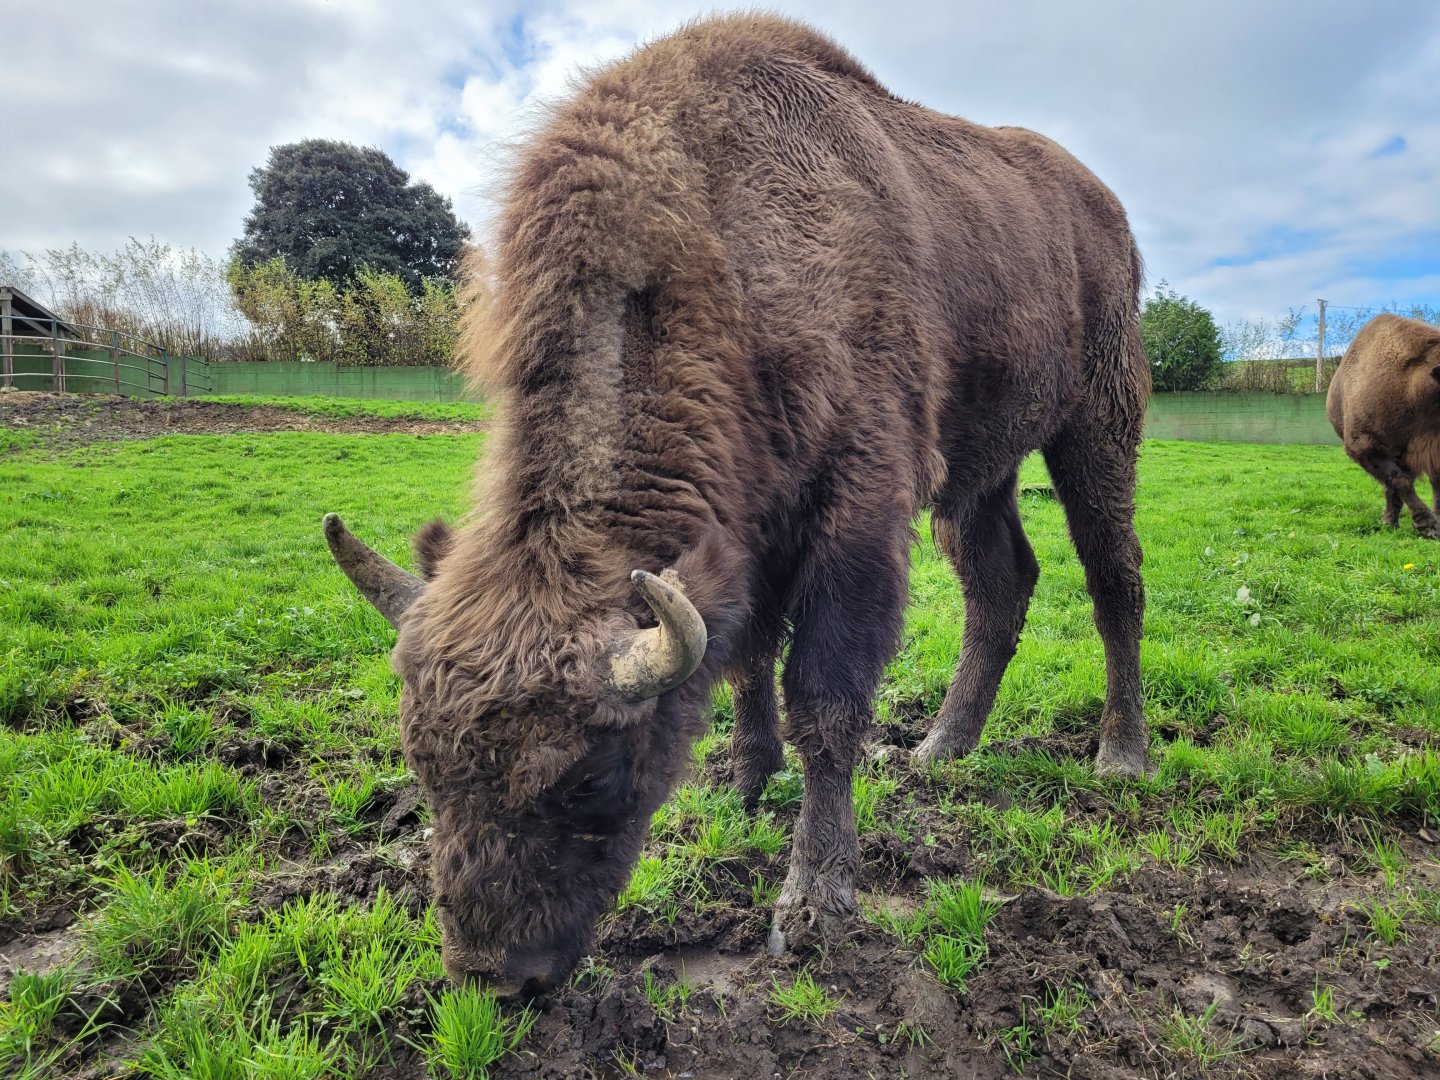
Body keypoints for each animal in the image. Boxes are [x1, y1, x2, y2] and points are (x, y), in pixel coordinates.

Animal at [324, 14, 1150, 997]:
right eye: (422, 764)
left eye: (590, 778)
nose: (493, 976)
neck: (719, 244)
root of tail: (1106, 206)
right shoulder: (751, 535)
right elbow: (746, 660)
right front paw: (743, 787)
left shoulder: (857, 513)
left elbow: (823, 697)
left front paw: (813, 902)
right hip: (977, 475)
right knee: (1001, 585)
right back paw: (940, 747)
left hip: (1098, 427)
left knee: (1113, 582)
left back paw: (1121, 754)